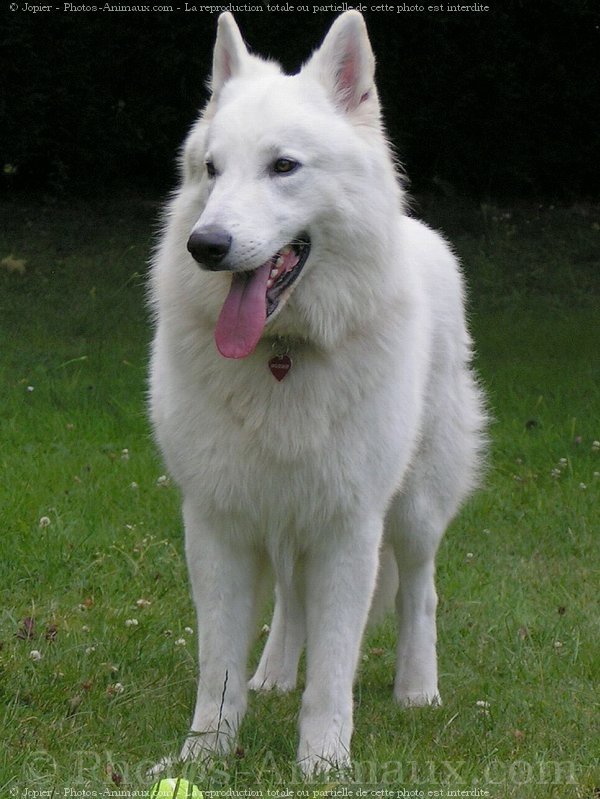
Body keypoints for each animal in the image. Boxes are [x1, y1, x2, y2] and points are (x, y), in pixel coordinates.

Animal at [149, 9, 482, 780]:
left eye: (283, 167)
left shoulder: (349, 526)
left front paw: (324, 763)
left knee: (421, 591)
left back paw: (418, 689)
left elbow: (333, 669)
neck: (282, 353)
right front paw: (205, 756)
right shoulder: (220, 524)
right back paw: (273, 673)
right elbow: (218, 667)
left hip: (414, 509)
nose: (206, 246)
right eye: (212, 170)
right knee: (292, 602)